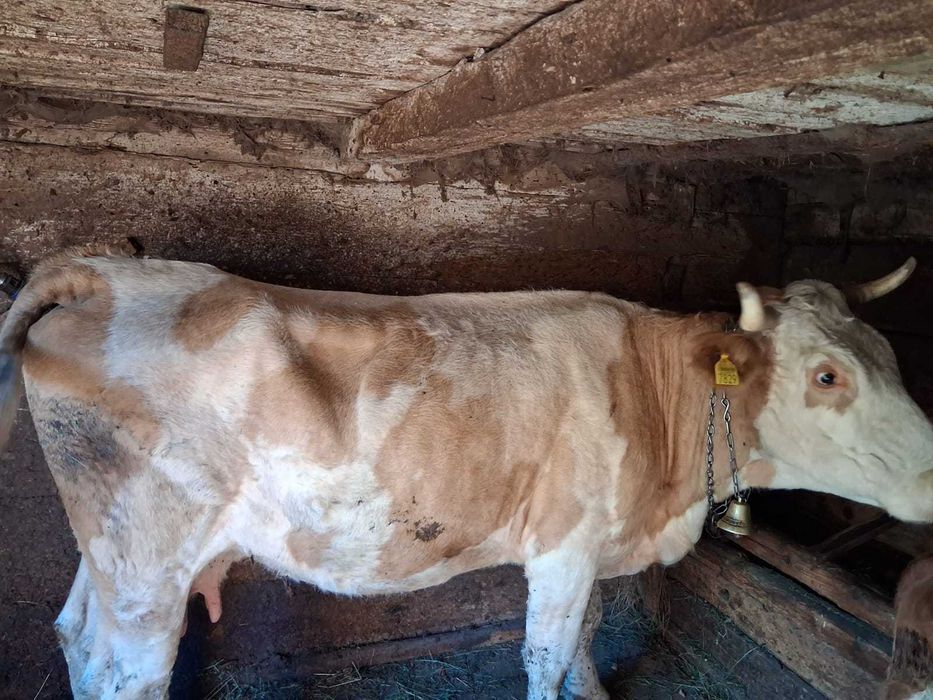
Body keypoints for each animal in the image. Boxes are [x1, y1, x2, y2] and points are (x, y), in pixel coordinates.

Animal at [0, 243, 931, 700]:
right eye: (826, 376)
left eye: (888, 355)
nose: (930, 477)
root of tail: (103, 271)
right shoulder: (562, 543)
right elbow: (546, 656)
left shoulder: (589, 547)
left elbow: (585, 640)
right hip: (150, 565)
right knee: (128, 675)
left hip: (114, 552)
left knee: (76, 637)